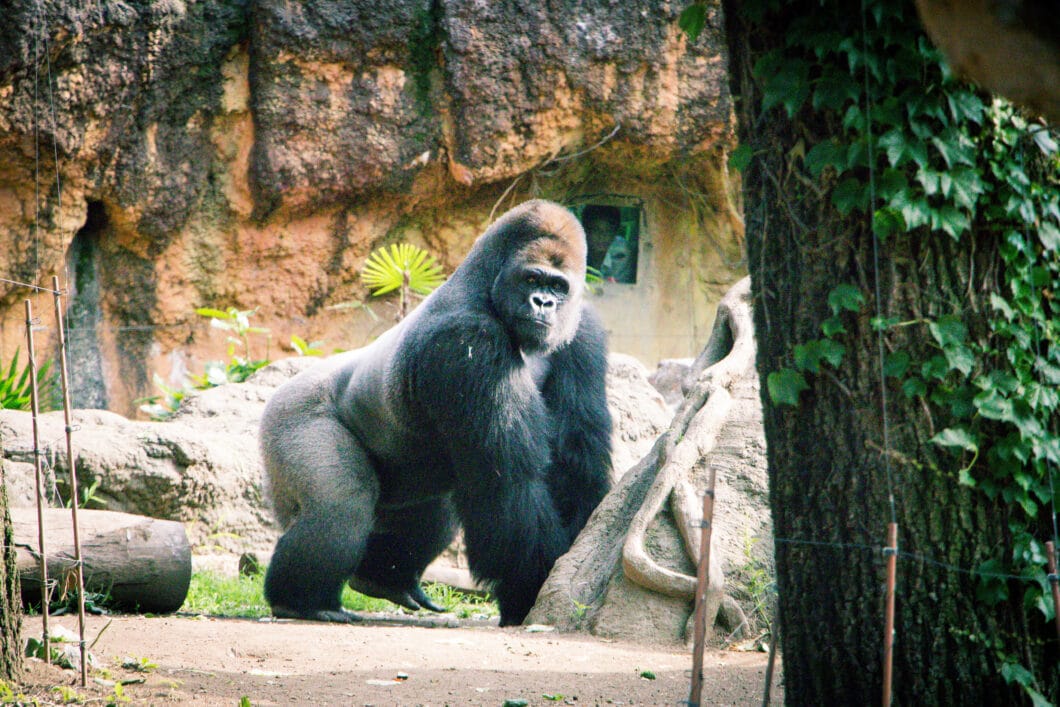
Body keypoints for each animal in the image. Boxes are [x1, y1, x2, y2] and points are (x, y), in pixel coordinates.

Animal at [257, 199, 619, 623]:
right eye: (532, 279)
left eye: (557, 287)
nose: (542, 303)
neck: (485, 284)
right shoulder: (469, 340)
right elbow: (508, 485)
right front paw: (531, 587)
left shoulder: (582, 329)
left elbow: (576, 462)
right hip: (289, 415)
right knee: (341, 506)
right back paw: (302, 601)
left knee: (431, 512)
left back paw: (385, 580)